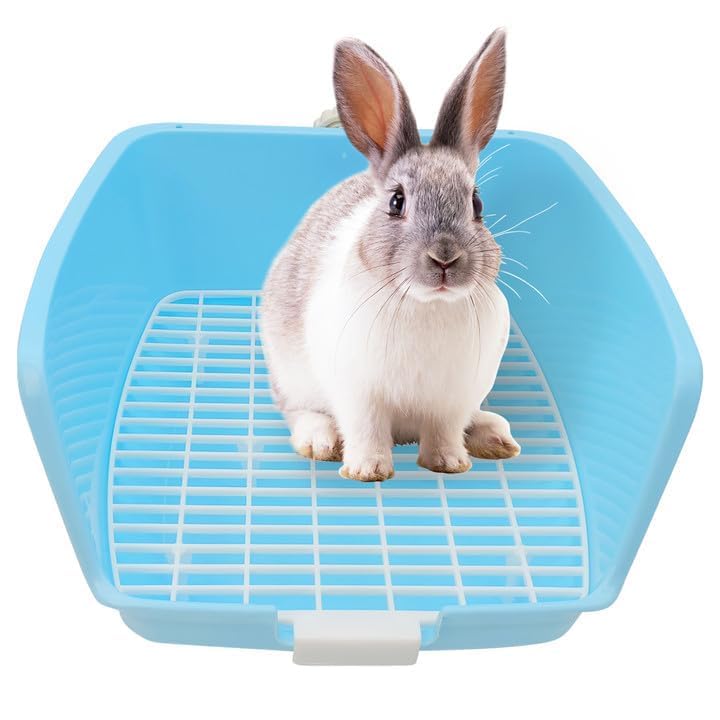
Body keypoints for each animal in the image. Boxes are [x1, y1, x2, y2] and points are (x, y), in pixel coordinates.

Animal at [261, 28, 520, 482]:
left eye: (477, 203)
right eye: (396, 202)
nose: (444, 258)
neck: (427, 305)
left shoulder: (452, 400)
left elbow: (444, 432)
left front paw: (449, 464)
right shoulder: (358, 394)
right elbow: (365, 430)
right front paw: (367, 471)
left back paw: (494, 437)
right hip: (290, 377)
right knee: (299, 412)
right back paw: (319, 441)